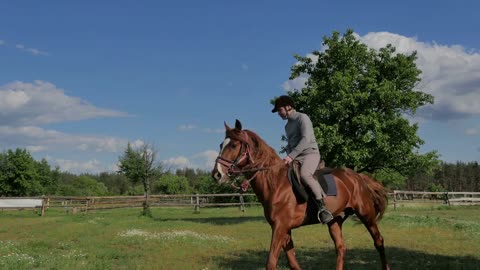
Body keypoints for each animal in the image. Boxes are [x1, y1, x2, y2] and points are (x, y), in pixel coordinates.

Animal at [213, 120, 390, 270]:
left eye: (234, 145)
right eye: (221, 144)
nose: (217, 174)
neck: (276, 183)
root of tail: (357, 177)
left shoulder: (280, 227)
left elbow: (271, 262)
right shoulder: (283, 229)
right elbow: (292, 262)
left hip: (366, 214)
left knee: (378, 241)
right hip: (335, 220)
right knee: (341, 248)